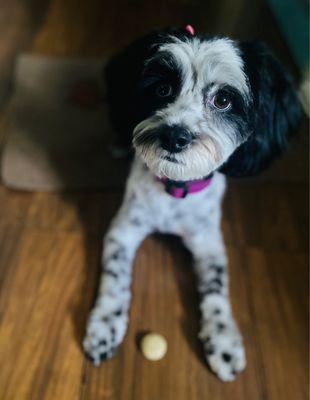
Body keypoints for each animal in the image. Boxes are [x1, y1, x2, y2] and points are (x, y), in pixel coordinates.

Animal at [82, 28, 300, 382]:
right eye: (162, 89)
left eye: (223, 100)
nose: (174, 137)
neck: (176, 189)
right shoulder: (122, 232)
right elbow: (115, 278)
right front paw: (104, 325)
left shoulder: (209, 243)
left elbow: (217, 286)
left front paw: (223, 339)